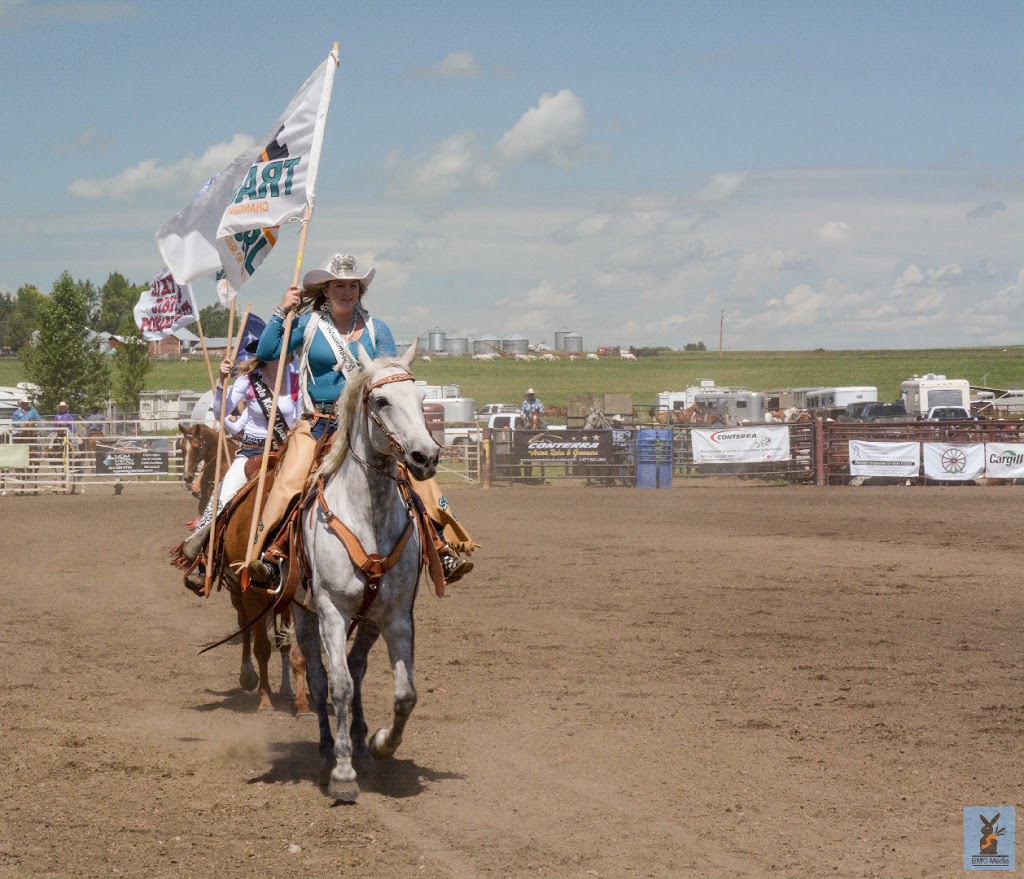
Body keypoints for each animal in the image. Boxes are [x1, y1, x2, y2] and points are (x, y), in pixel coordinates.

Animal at [292, 342, 444, 803]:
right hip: (302, 614)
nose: (425, 457)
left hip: (370, 620)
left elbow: (406, 694)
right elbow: (337, 686)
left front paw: (380, 743)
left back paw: (357, 737)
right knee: (320, 677)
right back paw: (330, 744)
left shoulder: (396, 616)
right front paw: (343, 774)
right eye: (381, 401)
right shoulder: (331, 612)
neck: (369, 517)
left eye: (422, 399)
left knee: (357, 668)